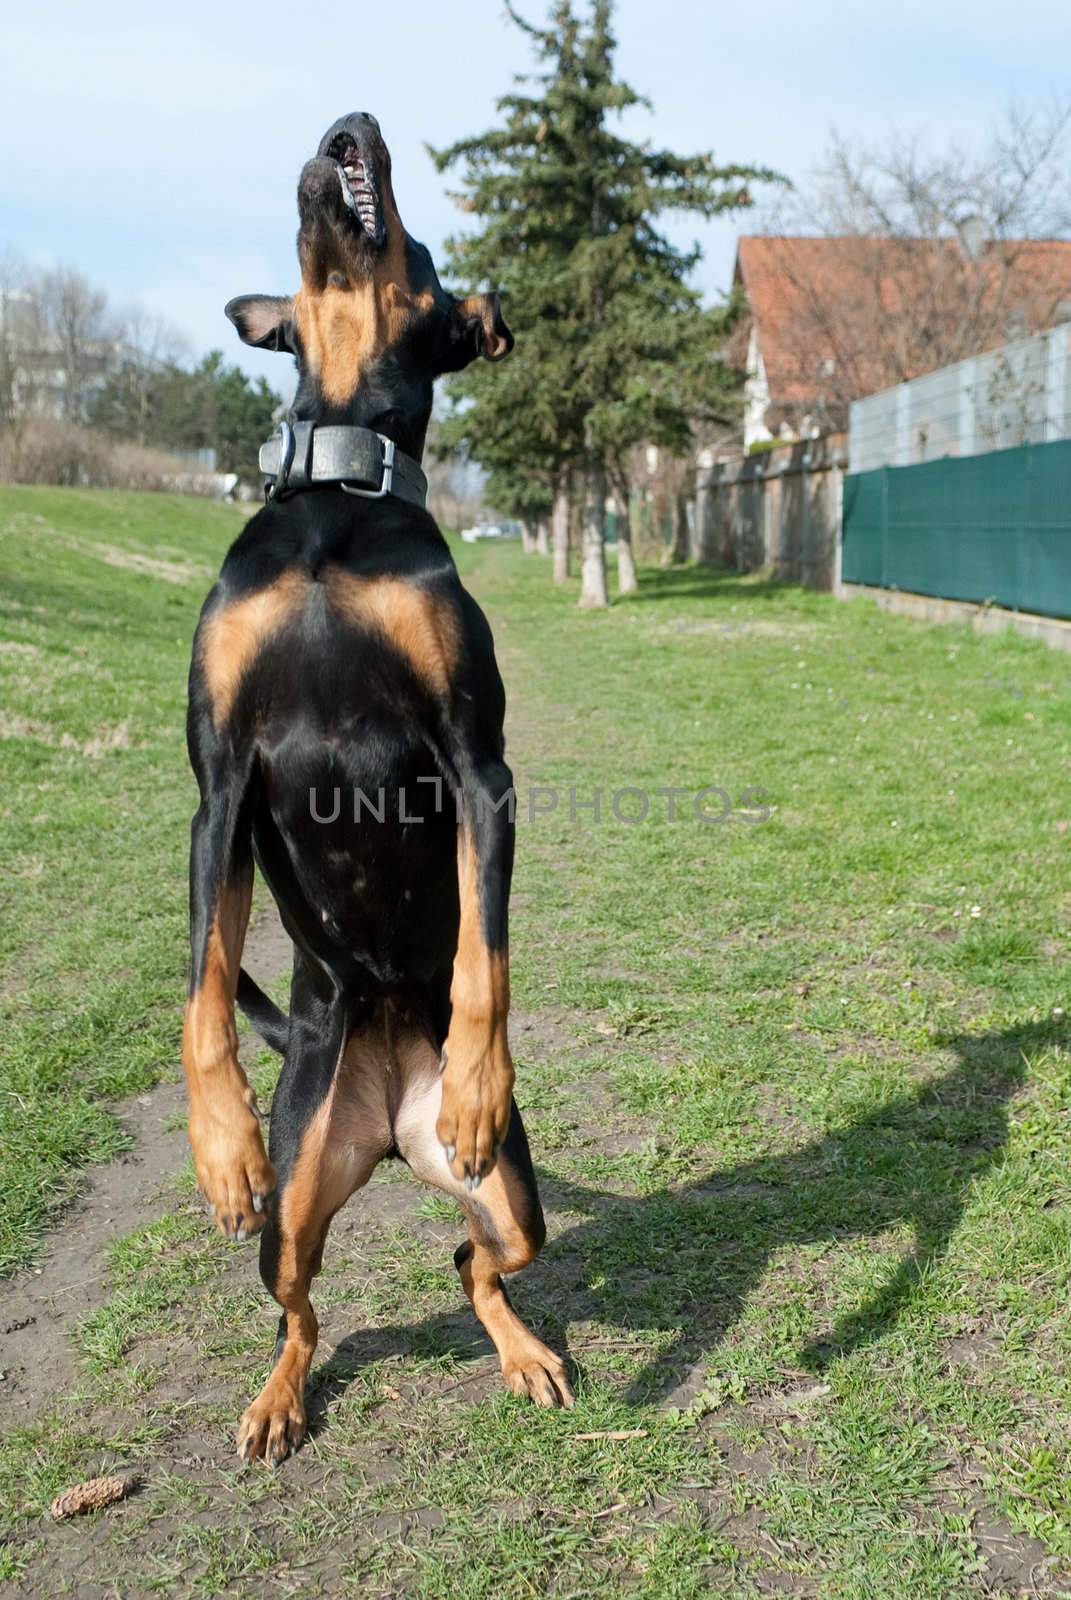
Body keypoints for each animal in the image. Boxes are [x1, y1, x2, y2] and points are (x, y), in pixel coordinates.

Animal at [184, 112, 573, 1465]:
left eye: (421, 243)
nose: (348, 128)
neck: (334, 502)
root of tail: (388, 1124)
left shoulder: (475, 761)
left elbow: (485, 960)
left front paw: (478, 1074)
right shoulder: (218, 777)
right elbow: (202, 986)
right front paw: (218, 1143)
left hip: (514, 1197)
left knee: (474, 1259)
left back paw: (522, 1345)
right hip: (299, 1190)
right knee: (297, 1304)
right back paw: (274, 1395)